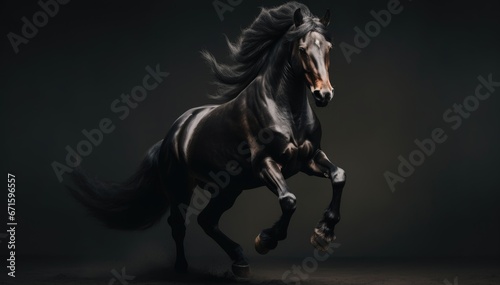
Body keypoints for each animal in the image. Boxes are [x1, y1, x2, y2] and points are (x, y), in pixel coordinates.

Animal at [68, 1, 346, 278]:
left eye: (328, 47)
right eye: (302, 49)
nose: (324, 94)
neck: (287, 112)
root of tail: (171, 136)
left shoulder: (309, 159)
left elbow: (338, 176)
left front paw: (323, 234)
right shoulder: (264, 164)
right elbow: (288, 200)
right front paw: (265, 240)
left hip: (229, 188)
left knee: (207, 220)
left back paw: (239, 261)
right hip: (180, 188)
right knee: (179, 225)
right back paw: (182, 267)